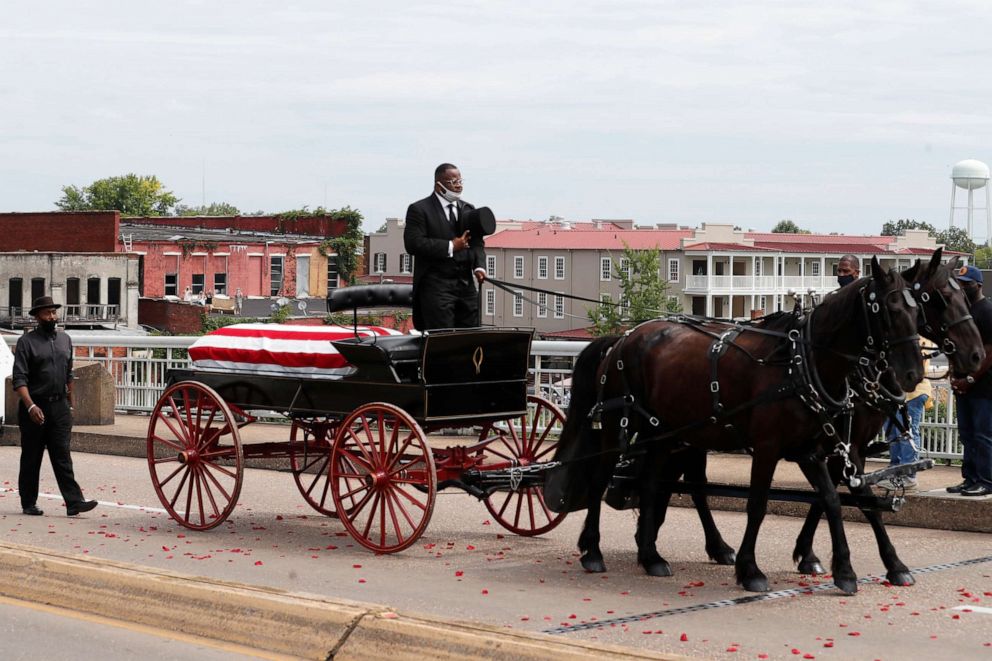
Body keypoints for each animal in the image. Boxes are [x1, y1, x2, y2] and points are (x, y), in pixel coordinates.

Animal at [548, 256, 928, 592]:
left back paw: (651, 555)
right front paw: (750, 570)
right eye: (890, 310)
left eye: (917, 312)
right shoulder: (769, 447)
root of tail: (623, 338)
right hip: (619, 424)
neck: (800, 362)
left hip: (665, 433)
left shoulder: (814, 450)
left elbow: (835, 500)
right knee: (601, 479)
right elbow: (757, 505)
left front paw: (855, 569)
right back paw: (593, 550)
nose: (912, 375)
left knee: (653, 483)